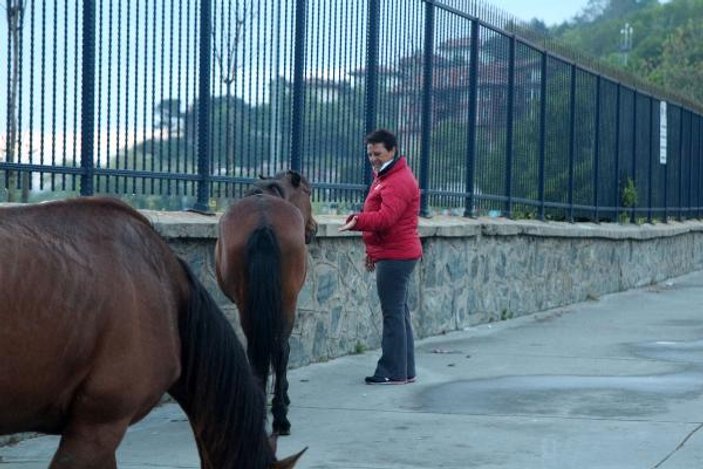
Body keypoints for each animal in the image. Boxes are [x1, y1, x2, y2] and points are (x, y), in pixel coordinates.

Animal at [217, 169, 320, 436]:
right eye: (308, 192)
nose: (313, 228)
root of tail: (263, 223)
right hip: (285, 301)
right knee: (279, 349)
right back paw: (280, 417)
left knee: (264, 349)